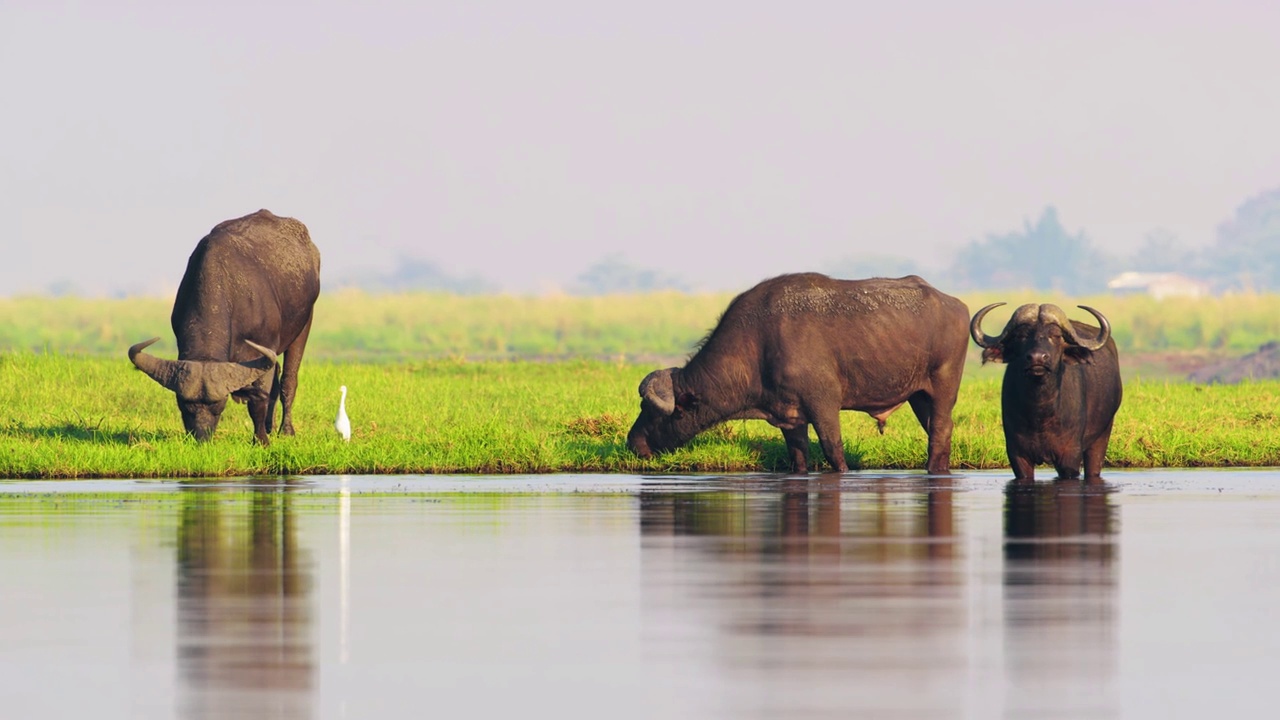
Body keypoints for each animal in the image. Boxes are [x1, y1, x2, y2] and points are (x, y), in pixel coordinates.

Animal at [624, 271, 962, 474]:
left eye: (654, 413)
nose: (632, 443)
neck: (758, 344)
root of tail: (953, 304)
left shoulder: (824, 404)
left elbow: (833, 450)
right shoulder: (790, 416)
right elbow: (798, 457)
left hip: (944, 386)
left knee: (940, 429)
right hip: (918, 396)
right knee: (937, 430)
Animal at [967, 299, 1121, 479]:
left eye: (1056, 336)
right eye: (1021, 336)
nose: (1037, 358)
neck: (1040, 414)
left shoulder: (1069, 455)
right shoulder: (1017, 455)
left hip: (1101, 437)